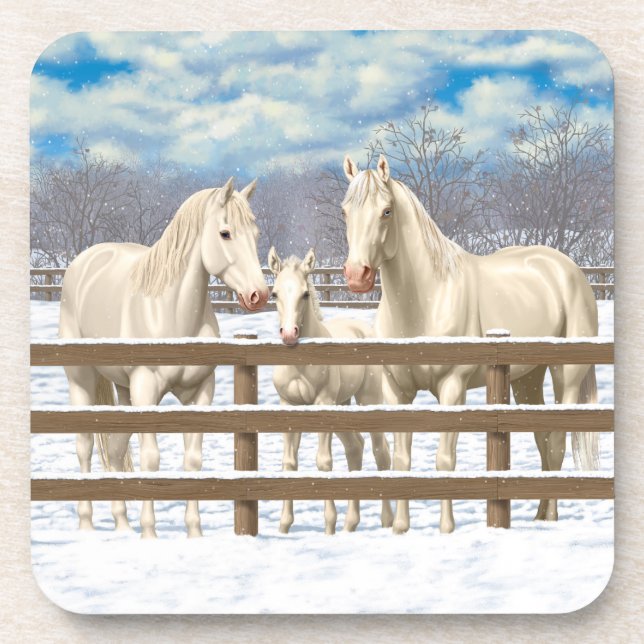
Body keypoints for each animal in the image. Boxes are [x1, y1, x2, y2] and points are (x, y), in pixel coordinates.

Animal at [59, 177, 269, 538]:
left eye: (255, 234)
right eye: (225, 233)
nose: (259, 295)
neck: (170, 313)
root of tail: (84, 260)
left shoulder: (200, 393)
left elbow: (193, 460)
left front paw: (194, 533)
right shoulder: (146, 391)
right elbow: (151, 460)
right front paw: (150, 534)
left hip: (124, 390)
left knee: (115, 448)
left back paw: (122, 525)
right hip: (82, 380)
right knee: (85, 445)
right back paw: (87, 526)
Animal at [268, 247, 393, 534]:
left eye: (305, 293)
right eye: (275, 293)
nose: (289, 334)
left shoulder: (322, 403)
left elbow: (323, 462)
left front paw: (329, 526)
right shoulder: (288, 406)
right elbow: (289, 463)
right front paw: (284, 526)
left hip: (367, 399)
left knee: (380, 452)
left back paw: (387, 521)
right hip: (342, 404)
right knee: (355, 448)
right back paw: (351, 524)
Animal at [340, 153, 599, 534]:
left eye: (386, 211)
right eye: (345, 212)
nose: (357, 276)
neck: (427, 299)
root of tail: (569, 269)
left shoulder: (452, 388)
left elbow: (445, 459)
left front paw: (446, 529)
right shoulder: (397, 390)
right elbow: (402, 458)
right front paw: (400, 528)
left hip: (566, 375)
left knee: (556, 441)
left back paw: (550, 518)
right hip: (527, 379)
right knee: (542, 438)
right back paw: (539, 514)